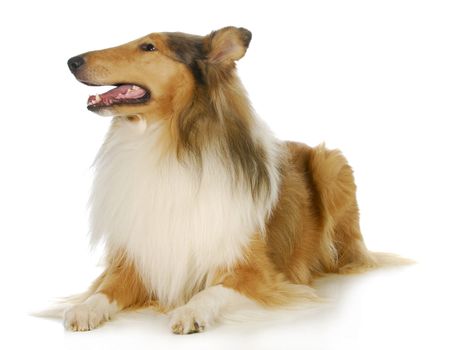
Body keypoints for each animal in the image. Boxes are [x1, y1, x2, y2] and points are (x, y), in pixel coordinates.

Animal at [63, 25, 400, 334]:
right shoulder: (137, 260)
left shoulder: (255, 272)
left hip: (332, 165)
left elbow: (212, 291)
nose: (72, 61)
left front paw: (190, 312)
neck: (168, 147)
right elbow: (105, 290)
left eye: (149, 47)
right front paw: (85, 309)